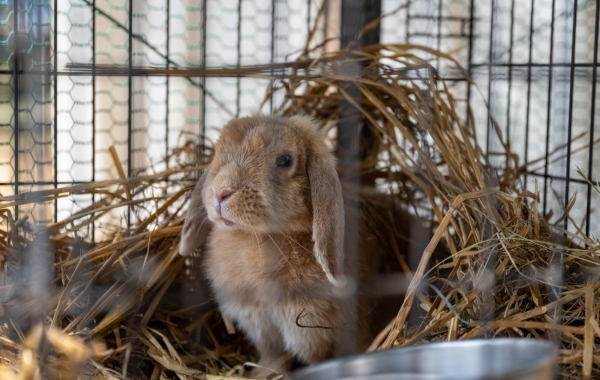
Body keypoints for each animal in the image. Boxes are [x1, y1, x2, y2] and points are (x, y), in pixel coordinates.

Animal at [178, 115, 410, 374]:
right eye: (218, 153)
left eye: (283, 160)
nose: (221, 193)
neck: (260, 237)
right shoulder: (262, 328)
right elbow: (272, 357)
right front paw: (261, 374)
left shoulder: (312, 331)